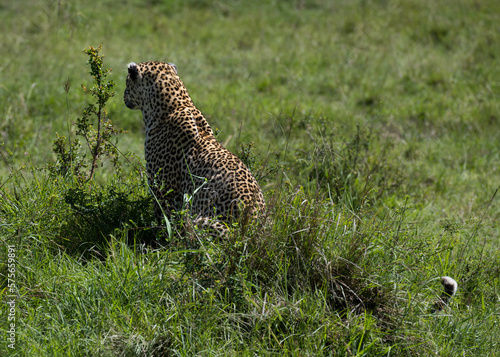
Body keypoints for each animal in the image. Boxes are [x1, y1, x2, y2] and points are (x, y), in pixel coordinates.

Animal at [124, 61, 266, 234]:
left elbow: (163, 221)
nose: (123, 96)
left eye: (127, 82)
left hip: (202, 222)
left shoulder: (163, 189)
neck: (178, 104)